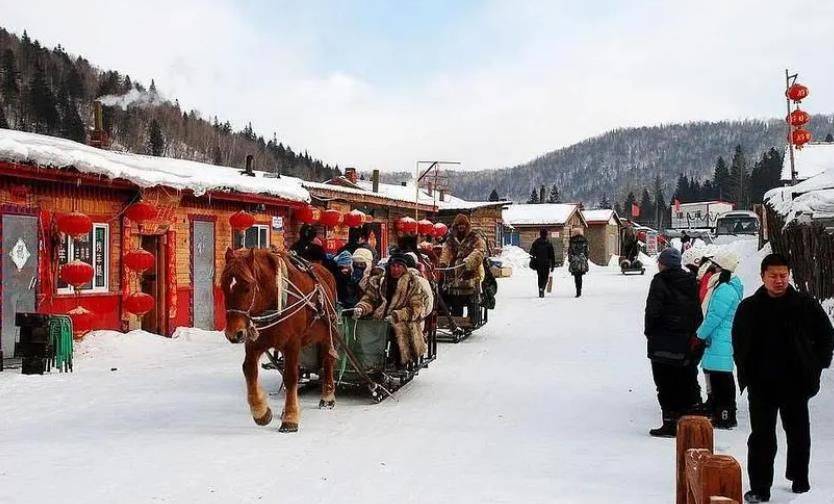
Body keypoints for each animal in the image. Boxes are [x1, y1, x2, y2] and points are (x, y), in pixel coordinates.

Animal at [223, 246, 340, 432]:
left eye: (248, 287)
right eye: (223, 286)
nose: (234, 334)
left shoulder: (292, 343)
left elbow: (291, 377)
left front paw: (290, 418)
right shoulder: (255, 343)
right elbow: (249, 370)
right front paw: (261, 412)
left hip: (328, 333)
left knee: (328, 361)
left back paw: (327, 397)